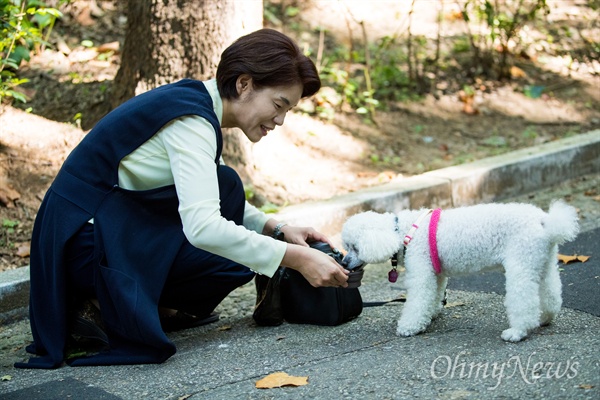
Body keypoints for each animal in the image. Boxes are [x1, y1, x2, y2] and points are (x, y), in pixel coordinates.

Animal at [340, 200, 580, 340]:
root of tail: (545, 221)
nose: (343, 263)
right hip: (541, 260)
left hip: (520, 263)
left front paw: (410, 327)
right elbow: (434, 294)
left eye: (355, 247)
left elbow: (418, 300)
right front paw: (432, 313)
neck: (402, 232)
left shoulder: (421, 270)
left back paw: (517, 332)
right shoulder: (436, 272)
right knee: (550, 293)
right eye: (347, 246)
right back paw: (545, 318)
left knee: (524, 302)